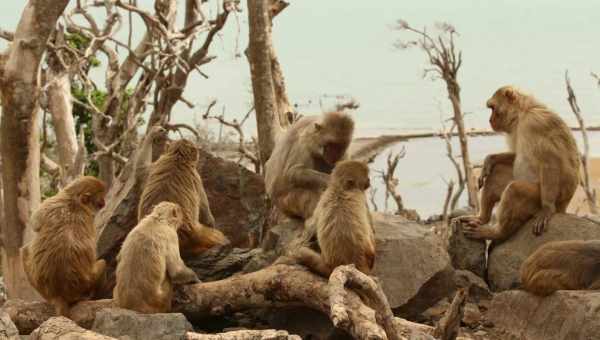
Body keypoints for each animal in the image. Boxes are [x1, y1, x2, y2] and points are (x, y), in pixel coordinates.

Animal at [454, 86, 580, 243]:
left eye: (492, 108)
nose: (490, 120)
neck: (523, 113)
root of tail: (564, 206)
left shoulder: (537, 122)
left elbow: (550, 161)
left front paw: (547, 208)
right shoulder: (516, 128)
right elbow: (515, 154)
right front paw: (489, 160)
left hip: (538, 200)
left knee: (516, 189)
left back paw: (496, 233)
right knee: (498, 171)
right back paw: (482, 218)